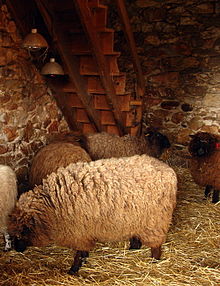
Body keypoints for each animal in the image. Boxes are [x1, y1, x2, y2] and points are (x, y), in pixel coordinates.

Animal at [7, 154, 178, 274]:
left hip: (156, 221)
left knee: (156, 245)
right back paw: (133, 247)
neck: (52, 205)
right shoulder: (83, 231)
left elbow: (79, 252)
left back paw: (154, 261)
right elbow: (83, 251)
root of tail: (168, 170)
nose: (17, 249)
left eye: (22, 231)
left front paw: (74, 269)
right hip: (137, 217)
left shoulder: (79, 232)